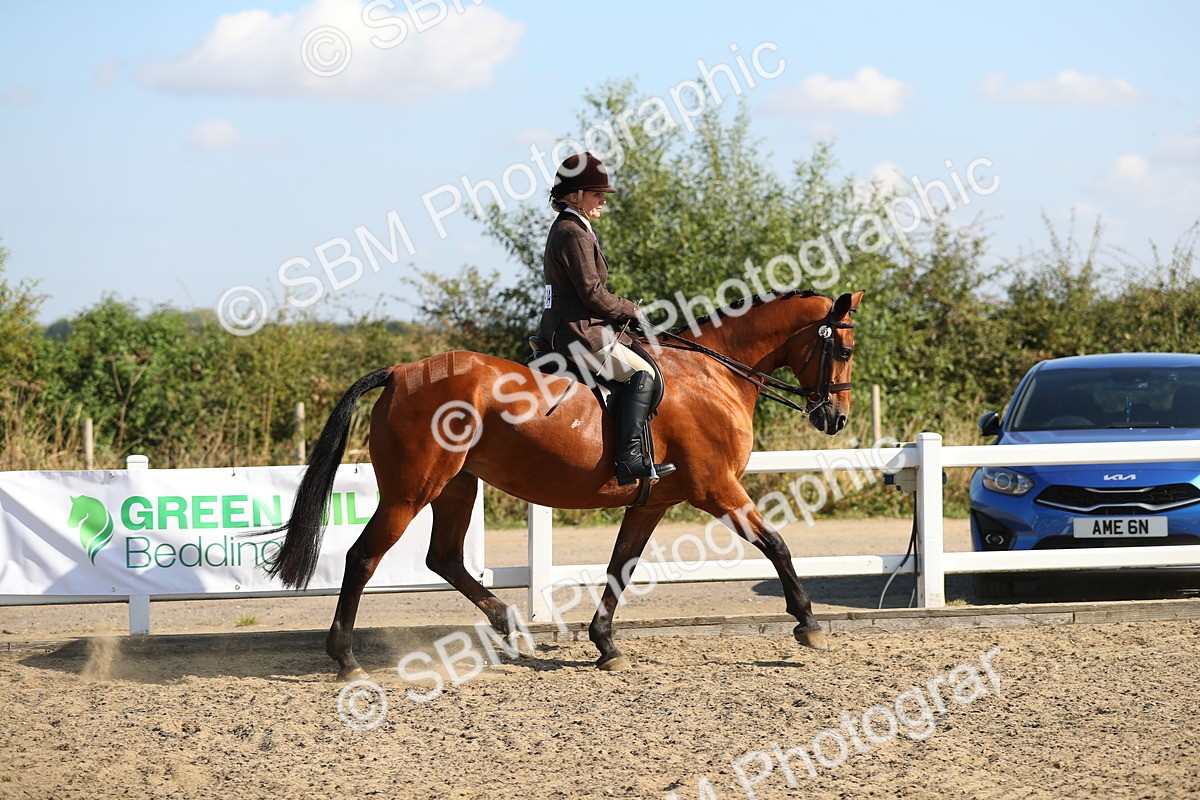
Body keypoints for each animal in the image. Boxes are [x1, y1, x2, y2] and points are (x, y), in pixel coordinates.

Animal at [263, 288, 864, 680]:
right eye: (844, 350)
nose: (835, 419)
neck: (712, 376)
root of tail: (401, 371)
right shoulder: (716, 490)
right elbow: (777, 545)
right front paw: (808, 623)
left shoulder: (653, 501)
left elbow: (621, 566)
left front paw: (605, 645)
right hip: (411, 492)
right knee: (364, 558)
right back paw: (345, 658)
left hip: (457, 487)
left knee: (444, 558)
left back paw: (508, 624)